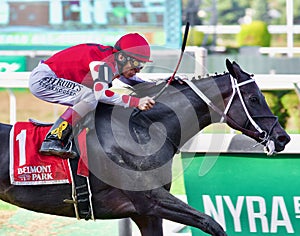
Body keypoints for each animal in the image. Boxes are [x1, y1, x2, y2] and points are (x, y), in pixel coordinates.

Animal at [0, 58, 290, 235]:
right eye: (253, 98)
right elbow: (212, 223)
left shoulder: (146, 214)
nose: (283, 138)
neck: (142, 129)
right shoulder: (150, 201)